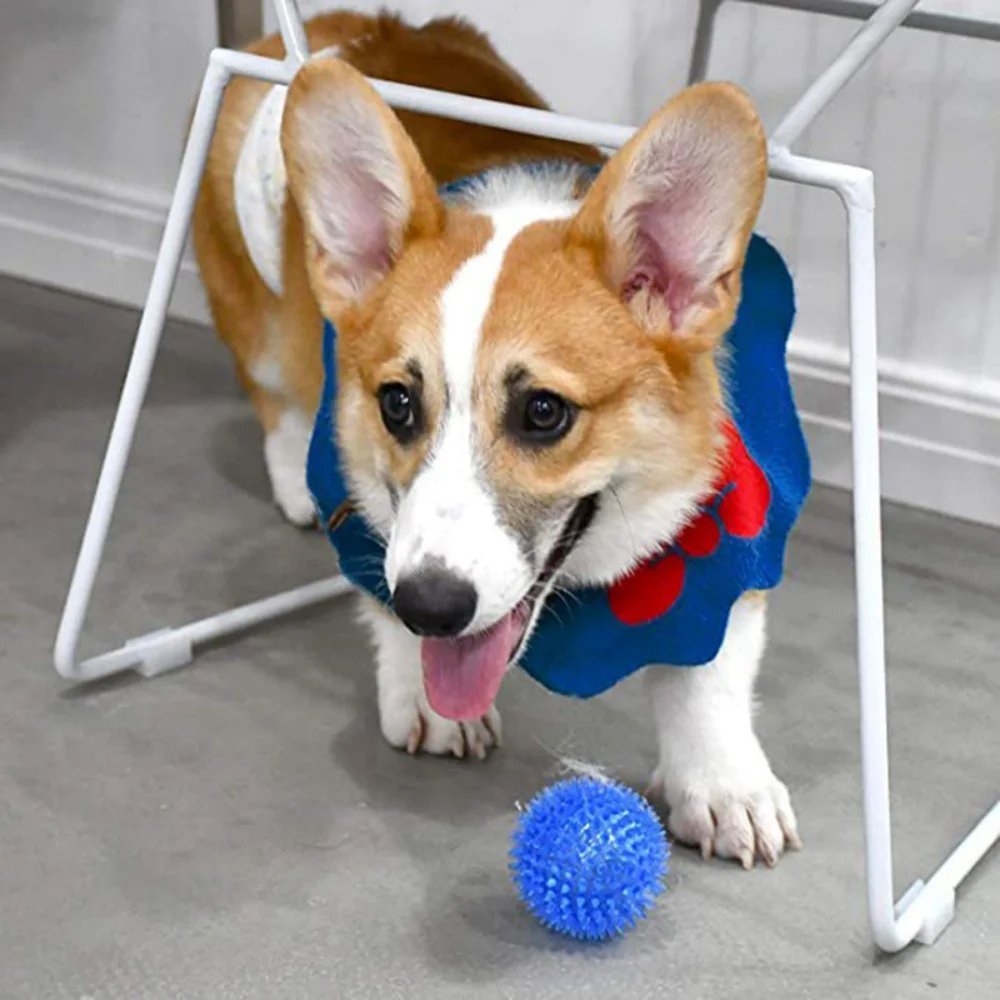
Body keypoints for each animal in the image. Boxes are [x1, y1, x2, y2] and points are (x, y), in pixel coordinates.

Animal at [193, 11, 804, 868]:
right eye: (397, 404)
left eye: (543, 412)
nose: (433, 609)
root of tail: (347, 27)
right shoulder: (367, 512)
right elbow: (379, 593)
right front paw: (424, 697)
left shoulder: (731, 533)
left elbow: (709, 675)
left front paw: (723, 786)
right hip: (258, 313)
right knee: (270, 388)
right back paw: (287, 482)